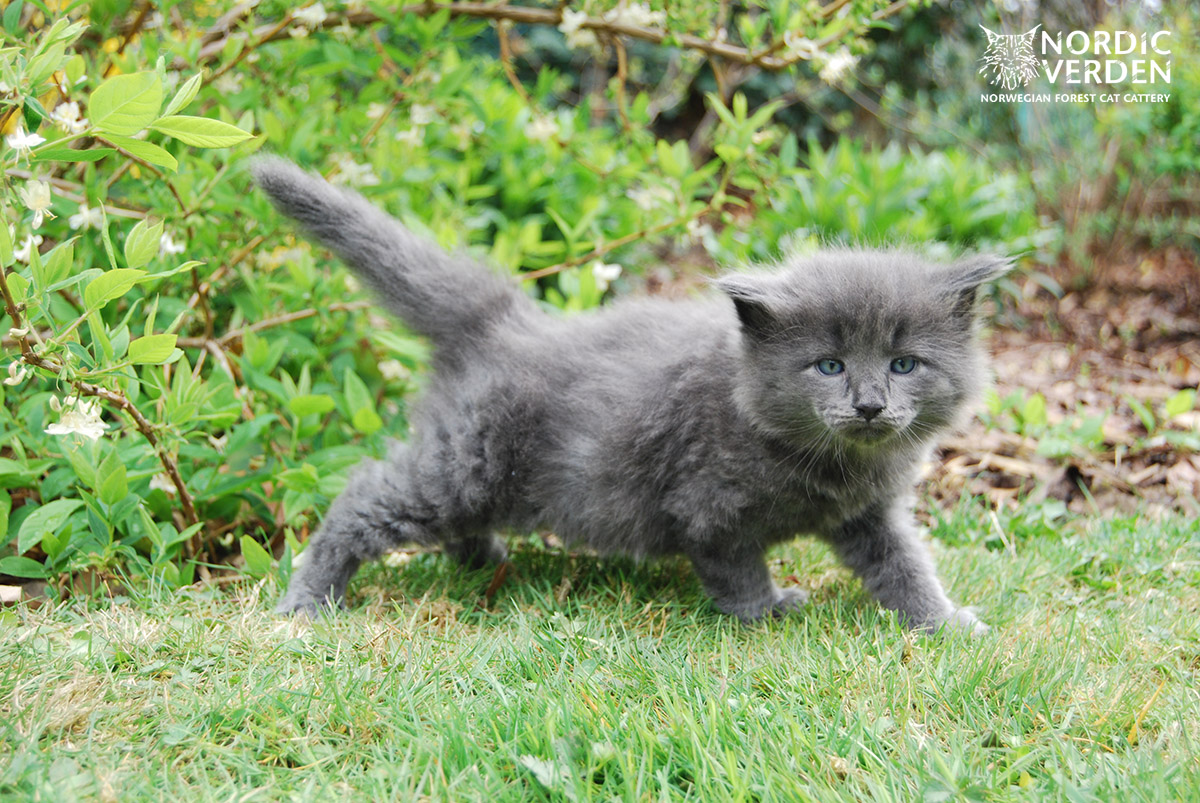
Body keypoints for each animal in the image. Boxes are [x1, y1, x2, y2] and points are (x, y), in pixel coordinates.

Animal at [252, 156, 1005, 635]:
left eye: (904, 363)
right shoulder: (708, 506)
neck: (832, 462)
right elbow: (735, 570)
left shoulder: (869, 515)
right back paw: (308, 601)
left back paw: (483, 561)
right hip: (461, 468)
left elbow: (904, 566)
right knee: (363, 496)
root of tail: (501, 318)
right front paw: (766, 613)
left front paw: (945, 624)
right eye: (827, 365)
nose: (871, 403)